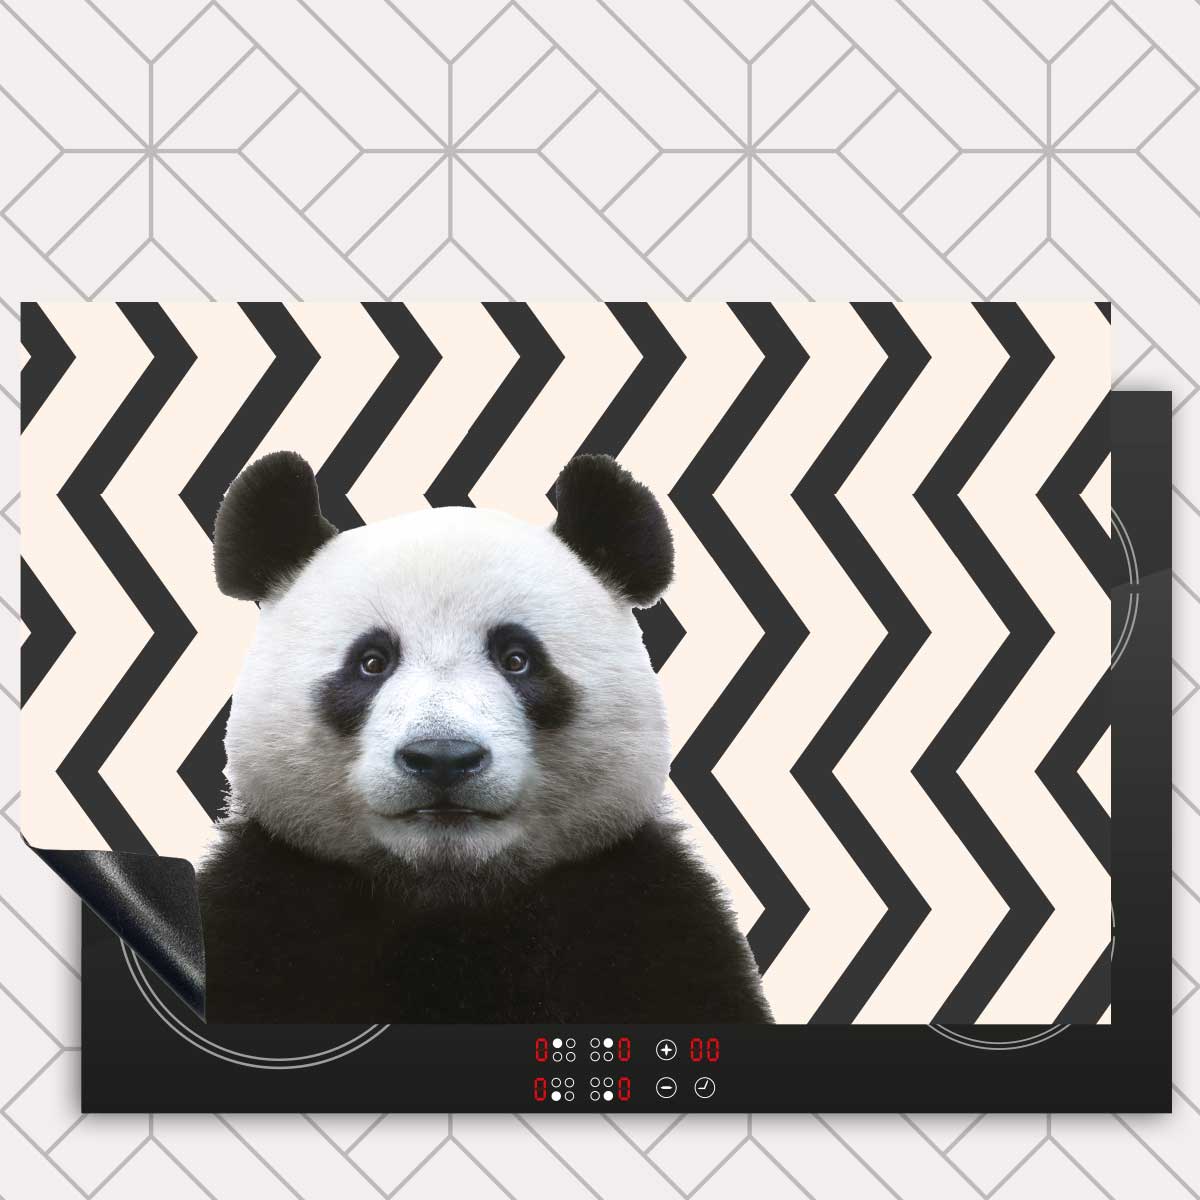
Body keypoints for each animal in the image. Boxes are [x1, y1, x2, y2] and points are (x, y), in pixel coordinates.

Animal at [198, 449, 772, 1024]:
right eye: (371, 662)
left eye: (517, 659)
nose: (442, 757)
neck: (452, 897)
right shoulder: (265, 910)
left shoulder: (644, 913)